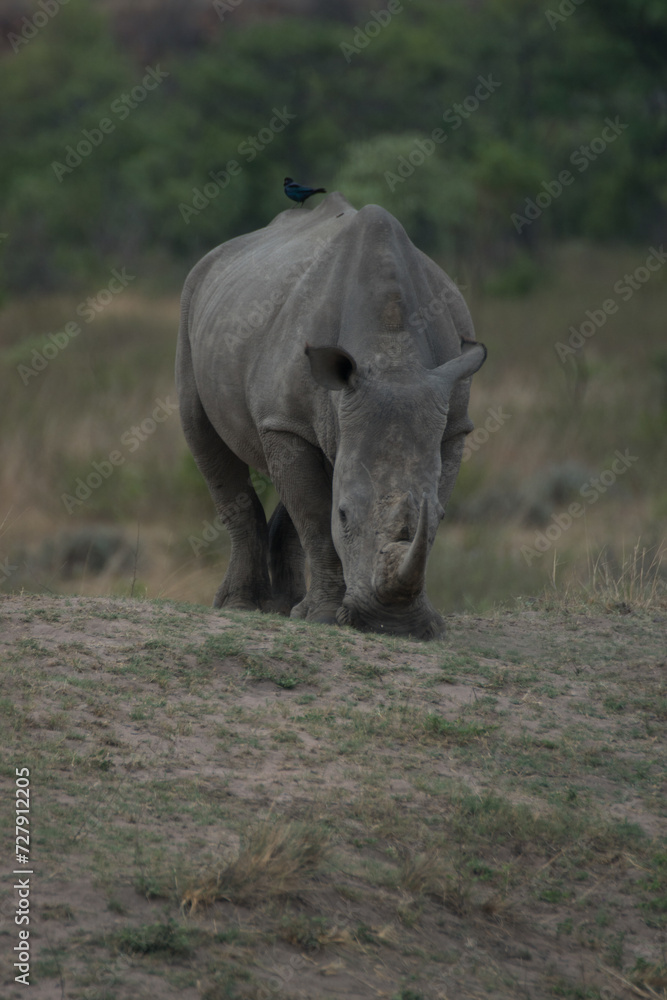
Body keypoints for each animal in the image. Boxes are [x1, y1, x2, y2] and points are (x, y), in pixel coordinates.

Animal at [177, 192, 486, 639]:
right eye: (345, 515)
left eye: (443, 517)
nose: (391, 624)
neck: (392, 356)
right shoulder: (285, 422)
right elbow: (316, 515)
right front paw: (324, 617)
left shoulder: (453, 427)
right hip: (192, 298)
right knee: (202, 434)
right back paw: (243, 607)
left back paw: (285, 608)